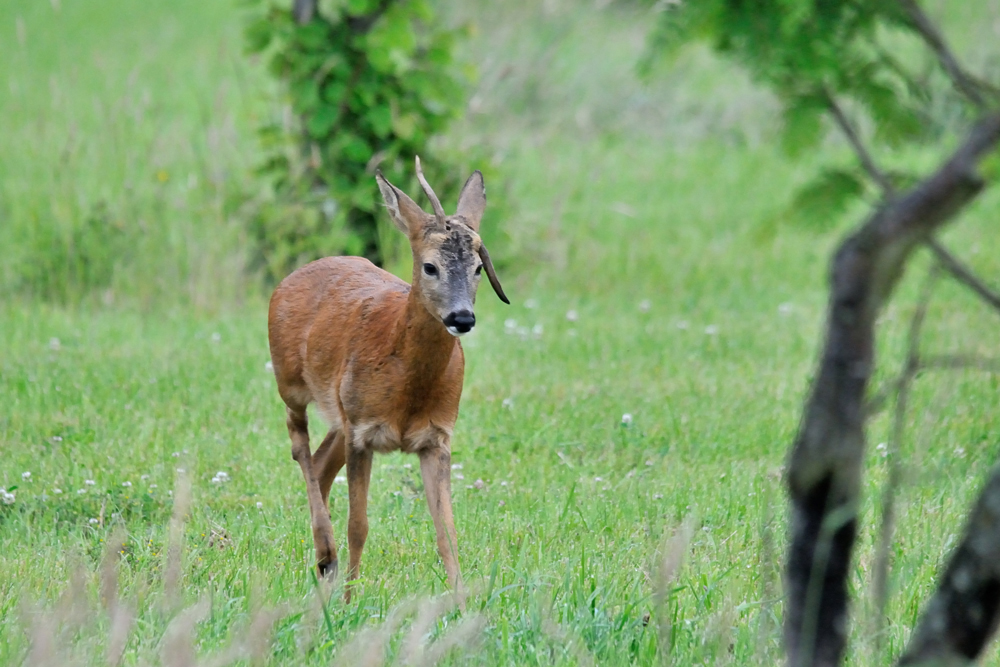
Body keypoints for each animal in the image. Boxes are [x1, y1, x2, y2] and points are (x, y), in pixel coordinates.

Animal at [266, 157, 508, 600]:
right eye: (430, 266)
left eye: (479, 267)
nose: (462, 317)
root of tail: (294, 275)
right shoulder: (363, 433)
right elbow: (358, 525)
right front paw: (349, 600)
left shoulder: (436, 437)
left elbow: (447, 531)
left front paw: (462, 600)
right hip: (290, 383)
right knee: (299, 446)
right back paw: (326, 555)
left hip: (340, 409)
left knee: (322, 461)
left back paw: (323, 563)